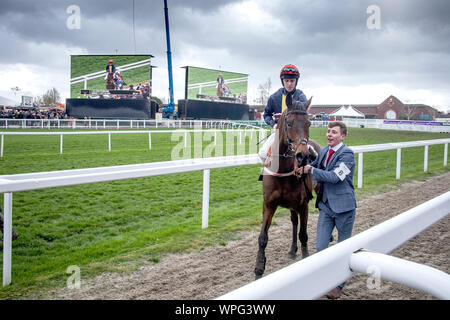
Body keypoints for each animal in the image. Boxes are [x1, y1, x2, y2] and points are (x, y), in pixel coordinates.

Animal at [255, 91, 322, 278]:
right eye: (289, 122)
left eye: (309, 123)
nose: (303, 156)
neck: (284, 170)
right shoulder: (269, 204)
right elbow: (263, 238)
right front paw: (258, 269)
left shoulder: (303, 204)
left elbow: (304, 234)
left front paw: (306, 257)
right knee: (294, 221)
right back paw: (292, 250)